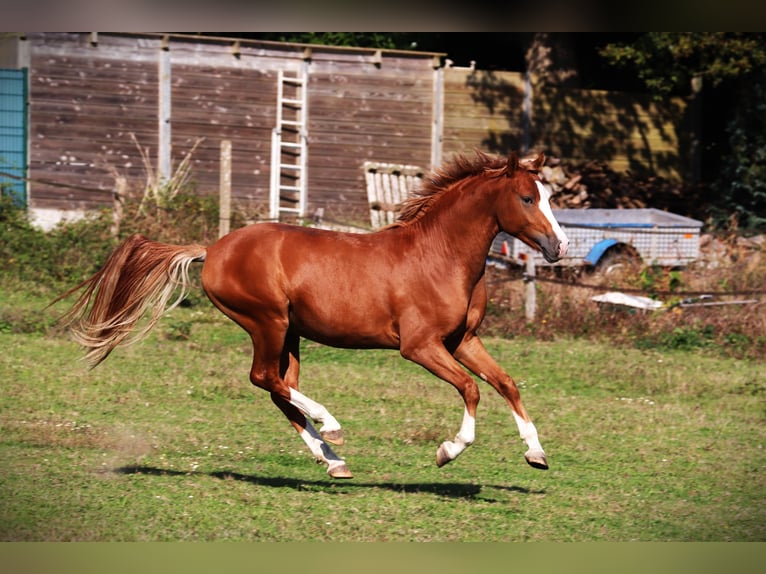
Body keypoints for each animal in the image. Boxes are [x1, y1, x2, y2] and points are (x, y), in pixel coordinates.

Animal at [55, 151, 568, 480]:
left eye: (546, 196)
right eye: (527, 198)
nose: (559, 247)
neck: (438, 255)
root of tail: (213, 249)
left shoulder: (464, 340)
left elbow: (506, 384)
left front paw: (537, 454)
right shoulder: (419, 346)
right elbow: (470, 388)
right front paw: (448, 451)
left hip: (291, 334)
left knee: (280, 390)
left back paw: (333, 459)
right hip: (267, 322)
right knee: (265, 378)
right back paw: (332, 426)